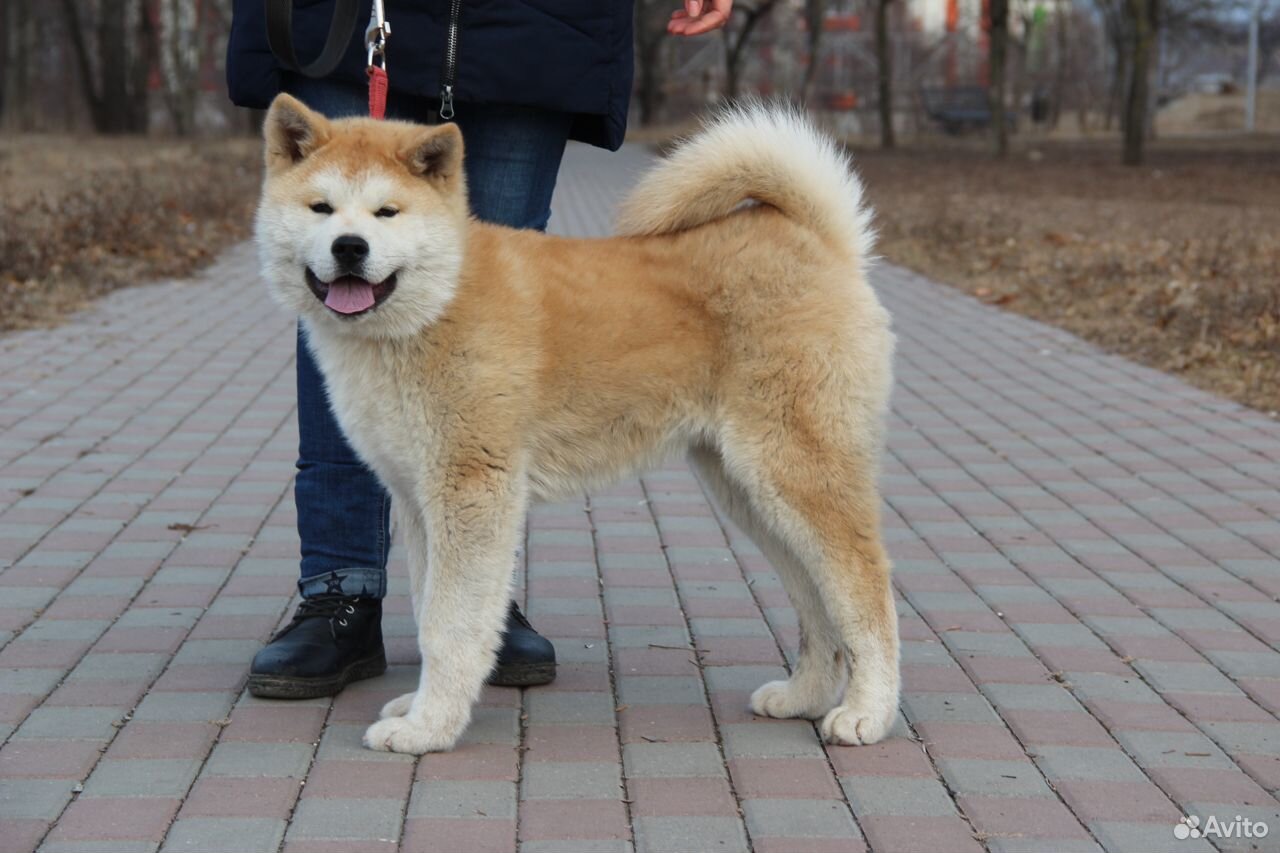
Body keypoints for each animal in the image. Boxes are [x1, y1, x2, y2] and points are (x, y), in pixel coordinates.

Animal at [254, 94, 901, 753]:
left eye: (387, 211)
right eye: (321, 208)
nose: (349, 247)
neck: (438, 302)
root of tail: (819, 241)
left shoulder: (472, 493)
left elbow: (449, 625)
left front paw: (429, 727)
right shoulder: (417, 502)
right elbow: (428, 608)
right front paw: (420, 708)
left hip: (794, 474)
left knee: (864, 585)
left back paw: (867, 712)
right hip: (751, 494)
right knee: (817, 601)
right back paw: (805, 696)